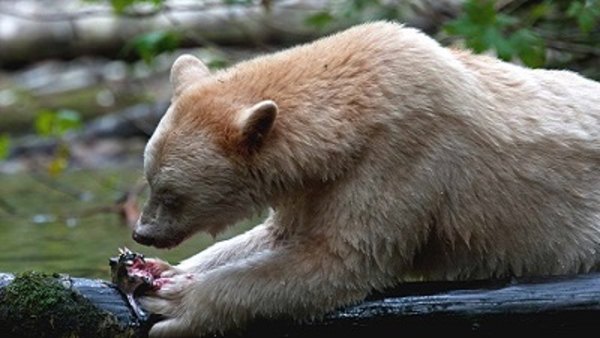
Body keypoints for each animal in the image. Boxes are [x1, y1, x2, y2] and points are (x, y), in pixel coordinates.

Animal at [132, 21, 600, 338]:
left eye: (170, 193)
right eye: (149, 178)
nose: (142, 233)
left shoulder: (402, 155)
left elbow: (340, 258)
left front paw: (177, 302)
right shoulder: (313, 183)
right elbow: (276, 236)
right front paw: (157, 271)